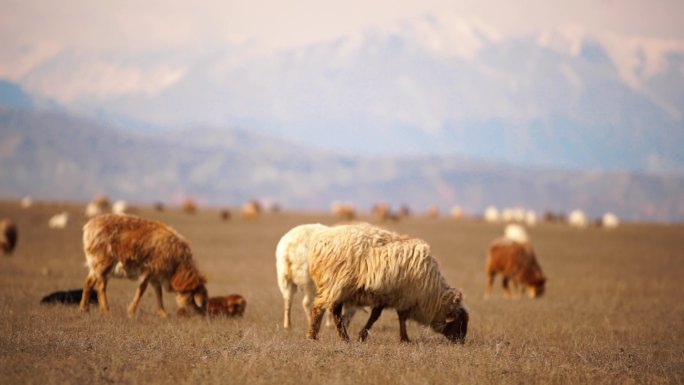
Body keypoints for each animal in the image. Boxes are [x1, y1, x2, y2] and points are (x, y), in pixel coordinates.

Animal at [78, 213, 207, 318]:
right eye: (195, 299)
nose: (203, 317)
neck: (178, 267)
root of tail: (89, 227)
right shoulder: (149, 269)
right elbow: (142, 290)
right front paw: (131, 312)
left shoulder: (156, 275)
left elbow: (158, 292)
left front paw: (162, 313)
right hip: (104, 262)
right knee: (101, 285)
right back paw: (106, 311)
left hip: (95, 263)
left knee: (88, 283)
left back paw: (84, 309)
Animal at [308, 220, 468, 344]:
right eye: (459, 322)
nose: (461, 342)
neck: (430, 294)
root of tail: (321, 242)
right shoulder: (404, 297)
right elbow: (398, 317)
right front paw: (404, 339)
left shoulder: (389, 296)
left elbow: (378, 316)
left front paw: (364, 336)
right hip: (336, 284)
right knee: (326, 310)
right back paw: (331, 337)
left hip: (335, 286)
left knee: (326, 308)